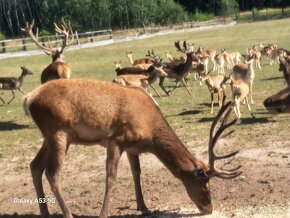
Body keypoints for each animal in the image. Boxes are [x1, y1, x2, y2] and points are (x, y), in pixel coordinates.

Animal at [23, 79, 242, 218]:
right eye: (205, 184)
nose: (209, 208)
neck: (150, 130)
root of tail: (28, 99)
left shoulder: (132, 148)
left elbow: (137, 173)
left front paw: (144, 207)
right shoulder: (115, 140)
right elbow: (111, 178)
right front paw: (104, 214)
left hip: (49, 137)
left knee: (35, 166)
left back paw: (45, 213)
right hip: (58, 133)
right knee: (52, 173)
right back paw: (68, 214)